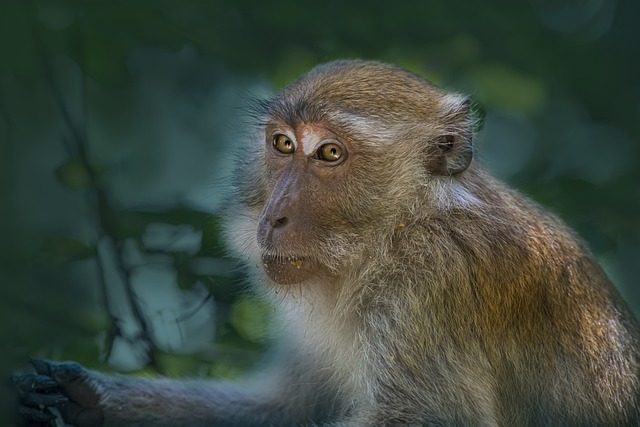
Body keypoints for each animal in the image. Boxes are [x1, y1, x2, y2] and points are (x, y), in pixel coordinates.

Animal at [15, 60, 640, 427]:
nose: (275, 217)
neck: (396, 230)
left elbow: (427, 418)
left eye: (331, 153)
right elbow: (287, 406)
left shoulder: (430, 281)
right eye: (284, 145)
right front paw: (88, 397)